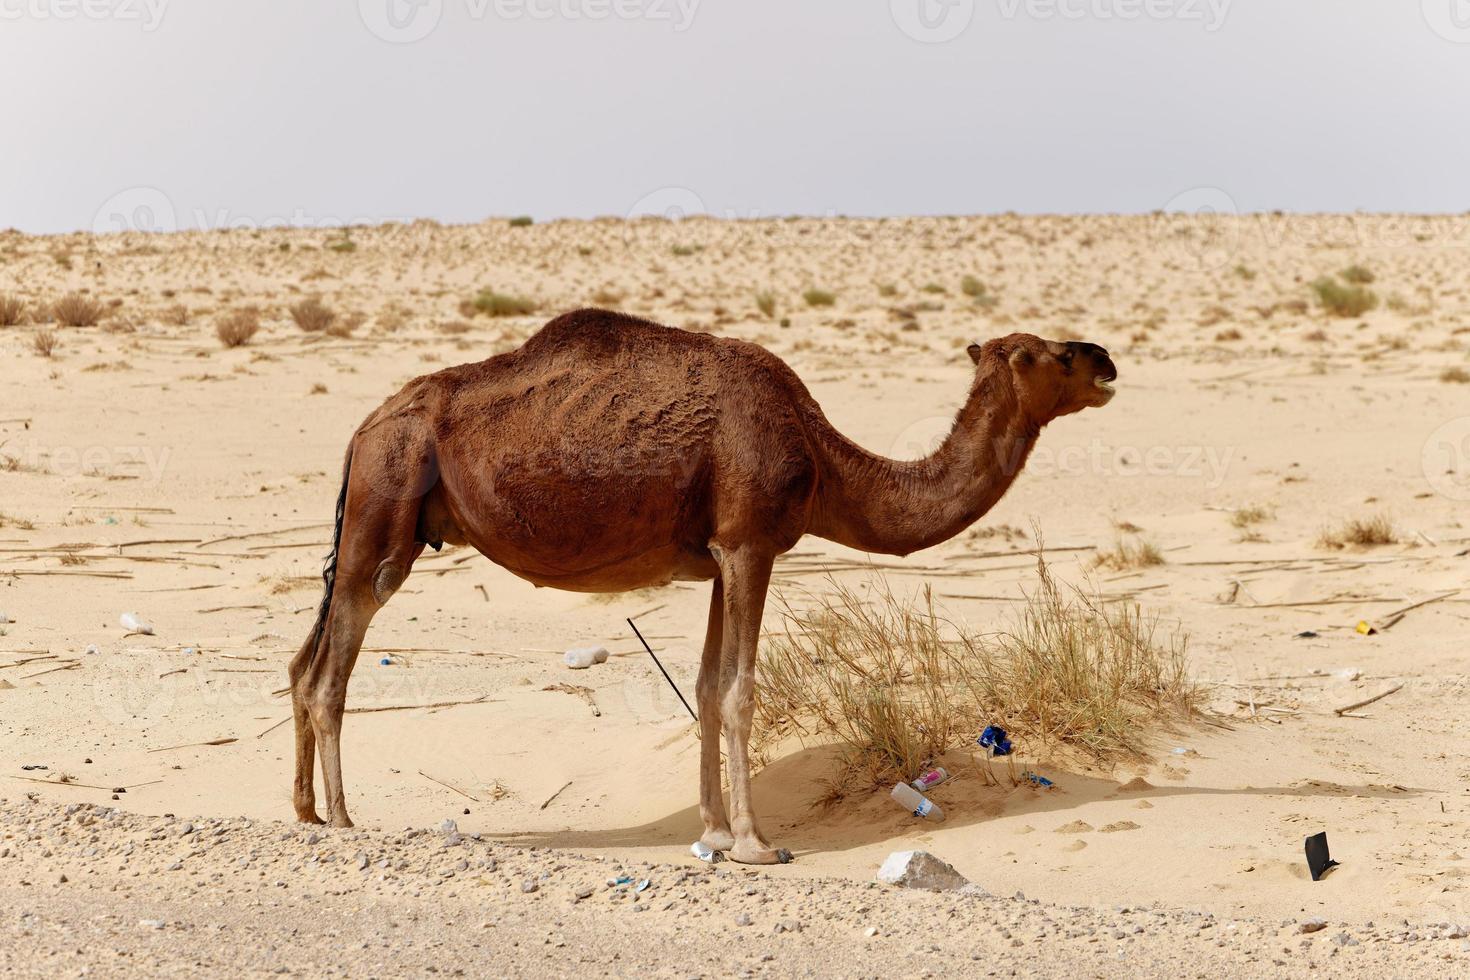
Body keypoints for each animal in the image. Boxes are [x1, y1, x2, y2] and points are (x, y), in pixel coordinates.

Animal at [283, 308, 1111, 863]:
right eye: (1042, 355)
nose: (1104, 358)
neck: (822, 456)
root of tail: (363, 428)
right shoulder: (750, 543)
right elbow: (741, 689)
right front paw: (754, 842)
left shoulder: (719, 557)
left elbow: (709, 687)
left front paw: (713, 831)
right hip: (385, 505)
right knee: (330, 668)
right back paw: (345, 818)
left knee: (300, 661)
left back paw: (305, 811)